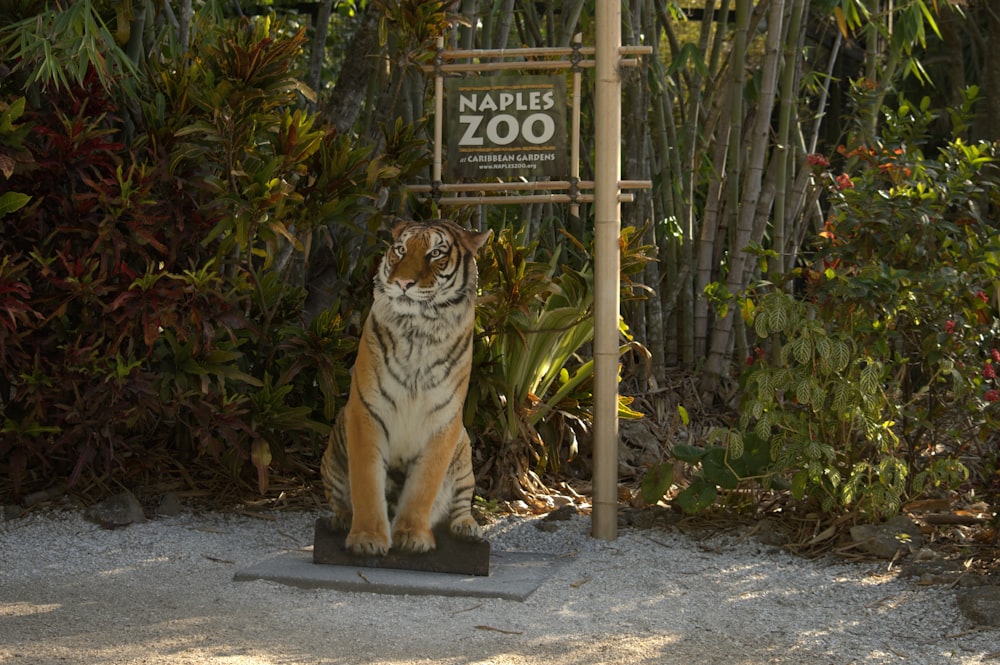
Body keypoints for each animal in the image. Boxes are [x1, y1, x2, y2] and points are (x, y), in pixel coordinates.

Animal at [322, 219, 490, 556]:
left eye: (436, 253)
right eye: (400, 249)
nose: (401, 283)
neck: (419, 330)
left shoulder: (444, 421)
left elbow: (424, 484)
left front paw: (413, 536)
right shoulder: (367, 412)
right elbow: (366, 480)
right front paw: (367, 538)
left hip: (464, 454)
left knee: (461, 504)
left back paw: (468, 528)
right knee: (339, 500)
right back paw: (341, 520)